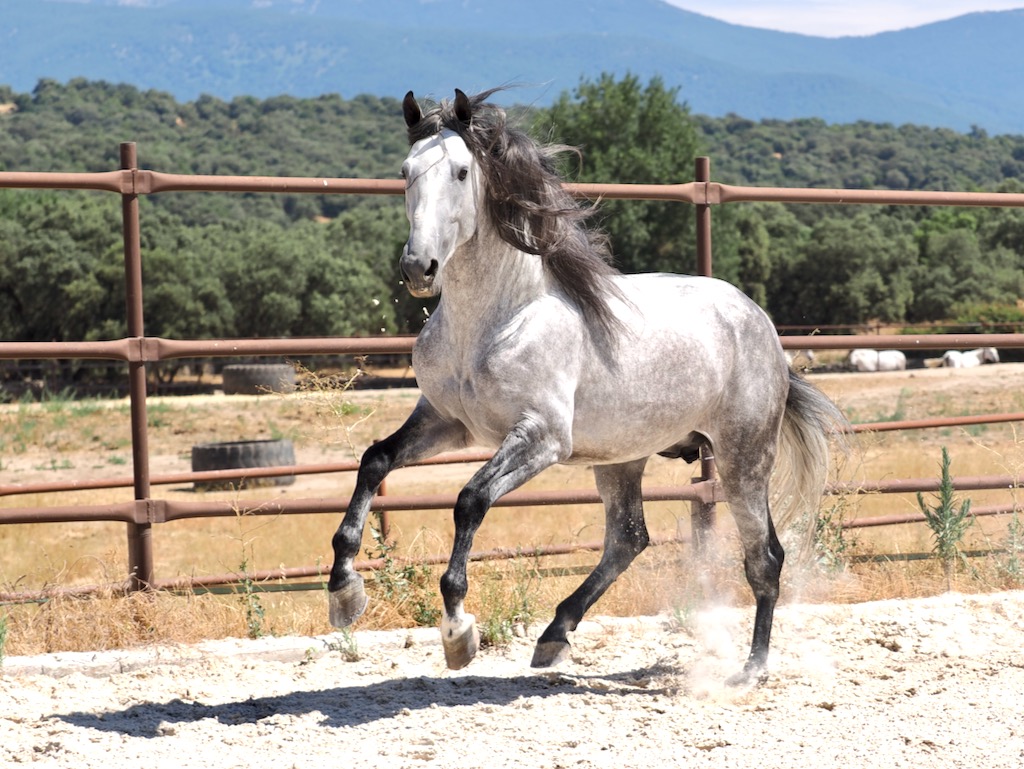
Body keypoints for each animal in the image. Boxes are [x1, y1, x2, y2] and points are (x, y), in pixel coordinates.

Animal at [327, 88, 845, 686]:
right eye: (405, 172)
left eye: (461, 172)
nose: (419, 268)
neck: (494, 322)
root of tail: (759, 322)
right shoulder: (446, 421)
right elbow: (374, 462)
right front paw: (344, 593)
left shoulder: (543, 437)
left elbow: (470, 499)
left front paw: (458, 632)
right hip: (622, 458)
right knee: (629, 539)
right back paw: (554, 637)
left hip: (743, 457)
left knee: (765, 557)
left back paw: (750, 670)